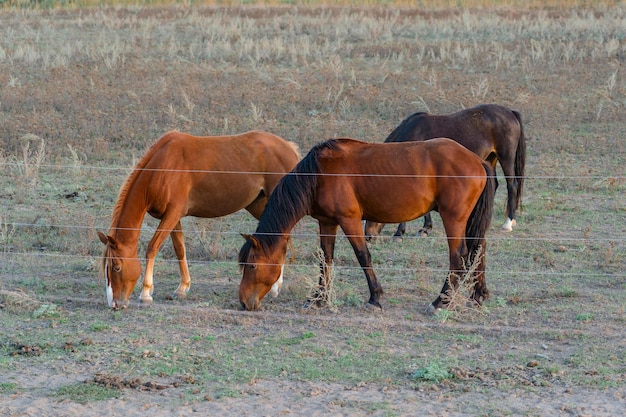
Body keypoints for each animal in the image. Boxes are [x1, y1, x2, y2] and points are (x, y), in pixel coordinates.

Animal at [97, 130, 300, 308]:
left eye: (116, 267)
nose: (114, 303)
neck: (163, 167)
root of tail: (289, 147)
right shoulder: (173, 217)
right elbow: (179, 249)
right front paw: (182, 288)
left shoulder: (172, 215)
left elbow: (152, 248)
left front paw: (146, 293)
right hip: (259, 205)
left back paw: (275, 287)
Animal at [236, 138, 494, 310]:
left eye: (252, 266)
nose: (244, 302)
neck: (319, 173)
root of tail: (477, 160)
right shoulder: (327, 223)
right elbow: (325, 259)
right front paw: (318, 298)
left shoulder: (349, 220)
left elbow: (363, 256)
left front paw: (375, 297)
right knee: (479, 249)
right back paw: (478, 295)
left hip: (453, 219)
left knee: (458, 256)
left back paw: (441, 301)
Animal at [364, 103, 524, 240]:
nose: (368, 236)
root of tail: (510, 112)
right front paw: (425, 228)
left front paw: (400, 233)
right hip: (491, 158)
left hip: (506, 157)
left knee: (512, 185)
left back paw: (508, 224)